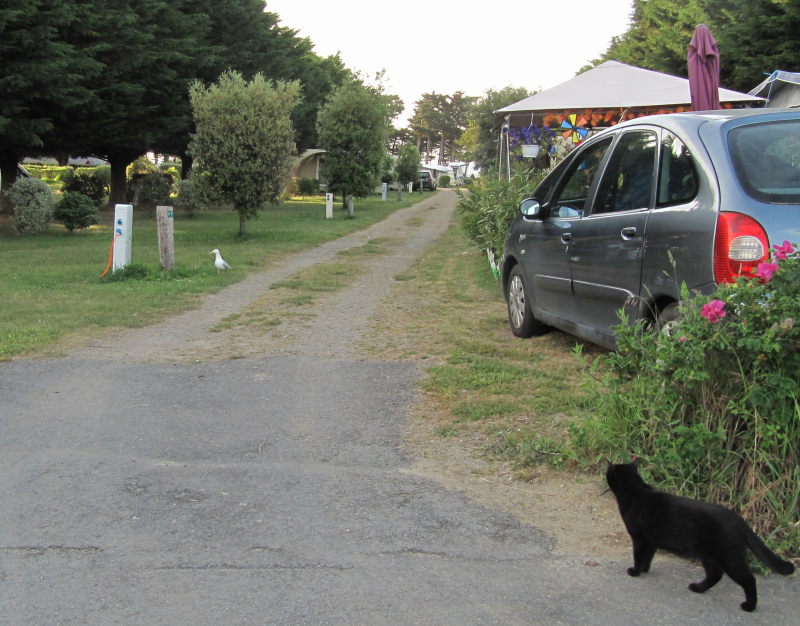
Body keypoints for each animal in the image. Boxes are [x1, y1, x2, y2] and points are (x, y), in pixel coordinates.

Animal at [608, 454, 792, 608]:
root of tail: (737, 518)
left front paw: (635, 572)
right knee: (715, 575)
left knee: (748, 579)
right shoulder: (651, 540)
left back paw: (749, 606)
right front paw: (645, 570)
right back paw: (697, 588)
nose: (606, 470)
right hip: (709, 554)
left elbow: (638, 555)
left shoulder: (639, 538)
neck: (636, 490)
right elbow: (648, 557)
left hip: (728, 555)